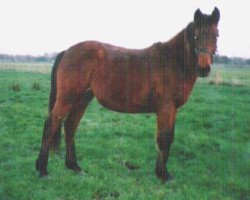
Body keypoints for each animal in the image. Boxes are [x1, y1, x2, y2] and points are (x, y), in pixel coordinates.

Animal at [36, 7, 220, 182]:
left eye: (216, 35)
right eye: (196, 35)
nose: (204, 68)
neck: (172, 62)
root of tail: (67, 51)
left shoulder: (173, 109)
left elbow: (170, 138)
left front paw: (164, 173)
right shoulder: (165, 108)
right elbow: (163, 139)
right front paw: (162, 175)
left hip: (82, 99)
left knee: (70, 126)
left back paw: (74, 167)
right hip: (67, 99)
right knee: (51, 124)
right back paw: (42, 170)